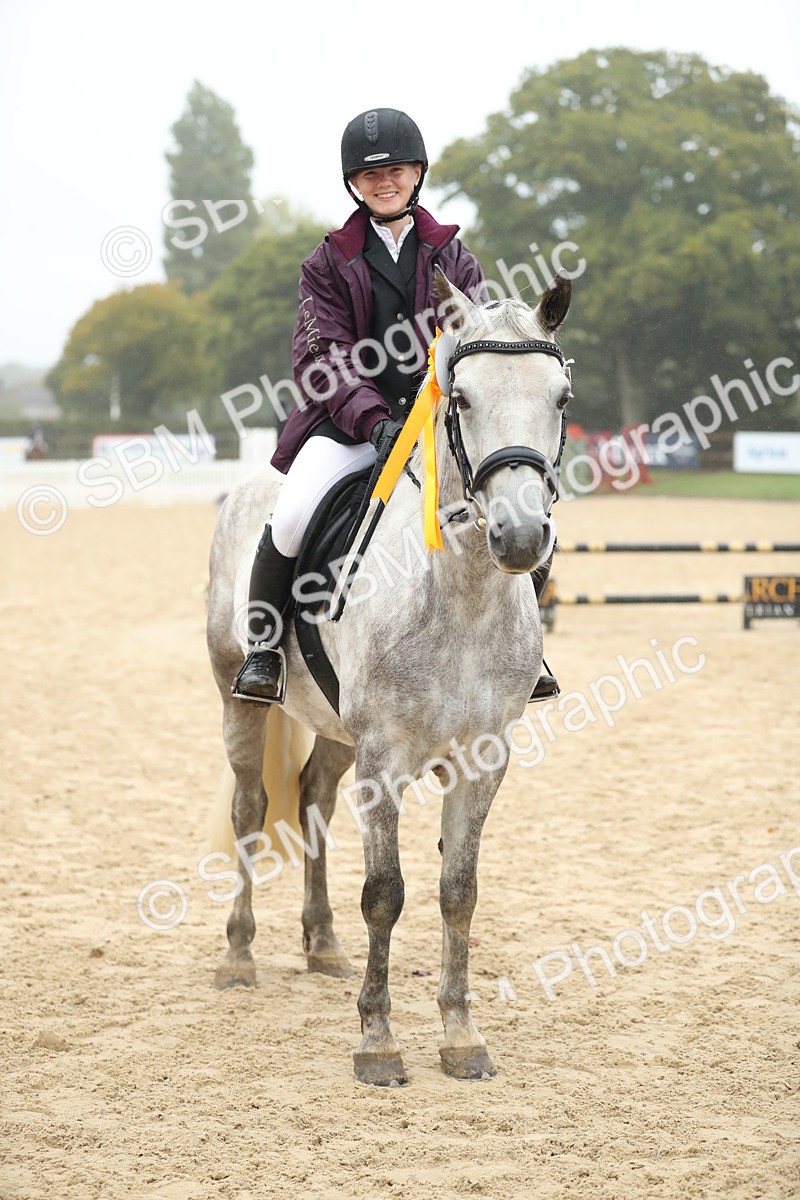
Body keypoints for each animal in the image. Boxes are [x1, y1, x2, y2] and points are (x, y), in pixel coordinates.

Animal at [205, 268, 573, 1086]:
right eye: (459, 397)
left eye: (561, 397)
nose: (520, 537)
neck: (463, 593)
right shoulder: (384, 758)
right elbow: (386, 894)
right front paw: (377, 1041)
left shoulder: (482, 759)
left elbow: (457, 892)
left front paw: (461, 1036)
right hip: (239, 698)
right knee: (250, 808)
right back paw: (240, 956)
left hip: (337, 728)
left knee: (312, 798)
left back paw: (322, 946)